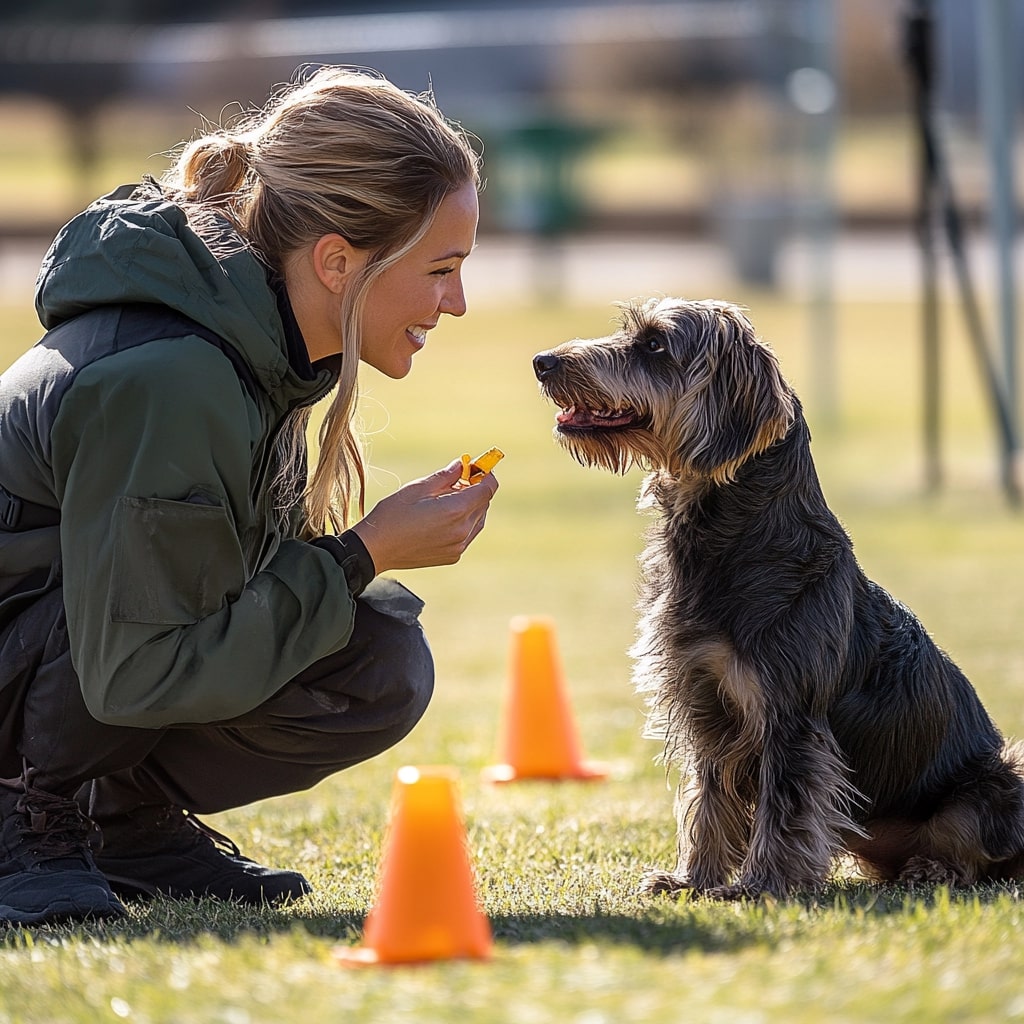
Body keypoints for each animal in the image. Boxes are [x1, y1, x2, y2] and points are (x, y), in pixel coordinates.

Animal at [532, 296, 1024, 897]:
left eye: (654, 344)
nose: (543, 362)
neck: (733, 541)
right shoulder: (705, 703)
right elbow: (709, 798)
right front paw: (694, 878)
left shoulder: (789, 716)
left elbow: (783, 806)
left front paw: (760, 884)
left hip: (1000, 779)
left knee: (982, 857)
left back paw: (933, 869)